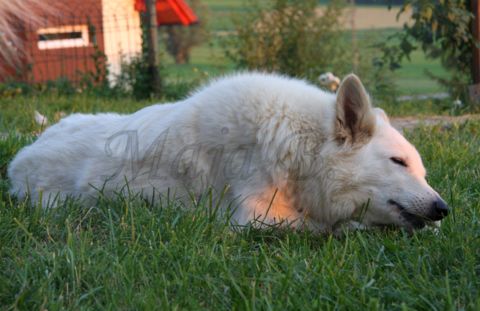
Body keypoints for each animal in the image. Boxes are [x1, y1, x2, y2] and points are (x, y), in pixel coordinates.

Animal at [7, 73, 450, 234]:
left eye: (423, 171)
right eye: (398, 162)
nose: (443, 208)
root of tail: (19, 157)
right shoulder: (253, 219)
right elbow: (331, 227)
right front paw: (351, 227)